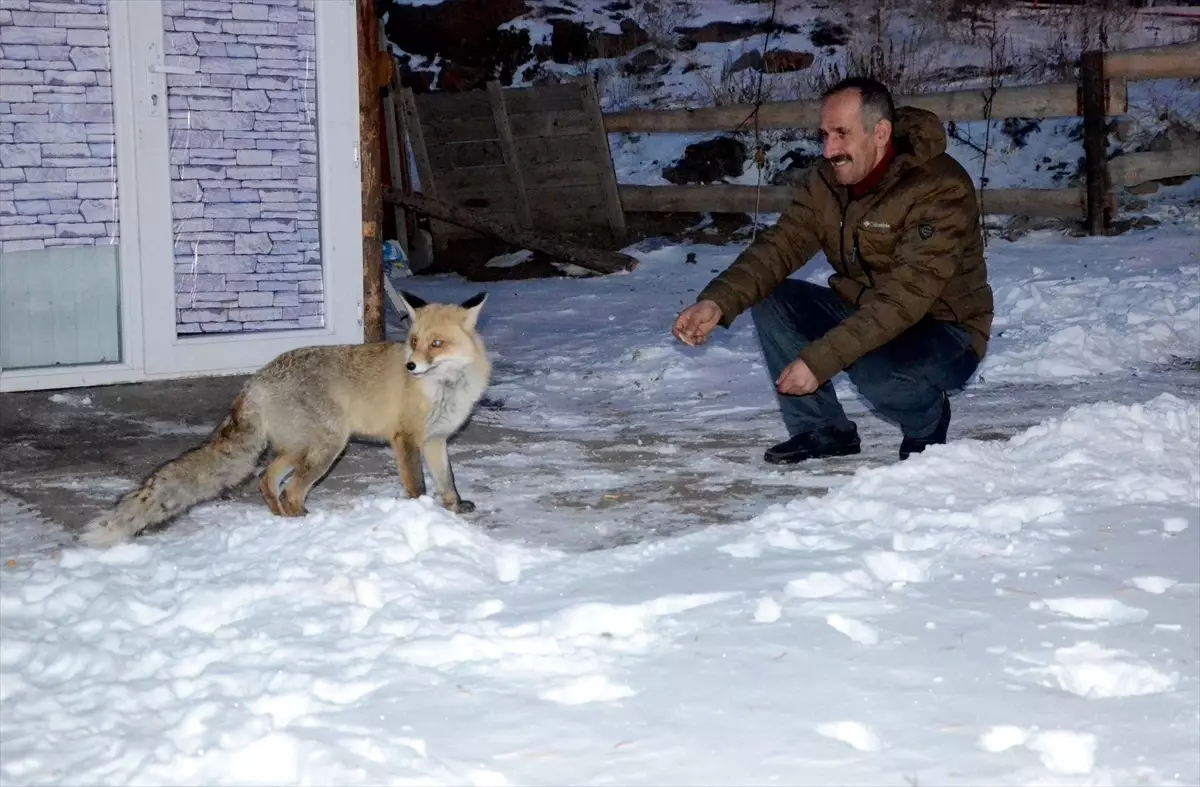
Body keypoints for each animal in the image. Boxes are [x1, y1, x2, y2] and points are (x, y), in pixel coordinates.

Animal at [77, 289, 489, 547]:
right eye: (414, 341)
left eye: (436, 344)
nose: (410, 366)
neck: (446, 388)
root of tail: (255, 380)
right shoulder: (405, 438)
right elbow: (417, 486)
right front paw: (422, 515)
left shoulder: (435, 440)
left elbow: (448, 481)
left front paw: (454, 508)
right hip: (328, 446)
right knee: (289, 488)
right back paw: (302, 521)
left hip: (299, 448)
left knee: (265, 478)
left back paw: (282, 520)